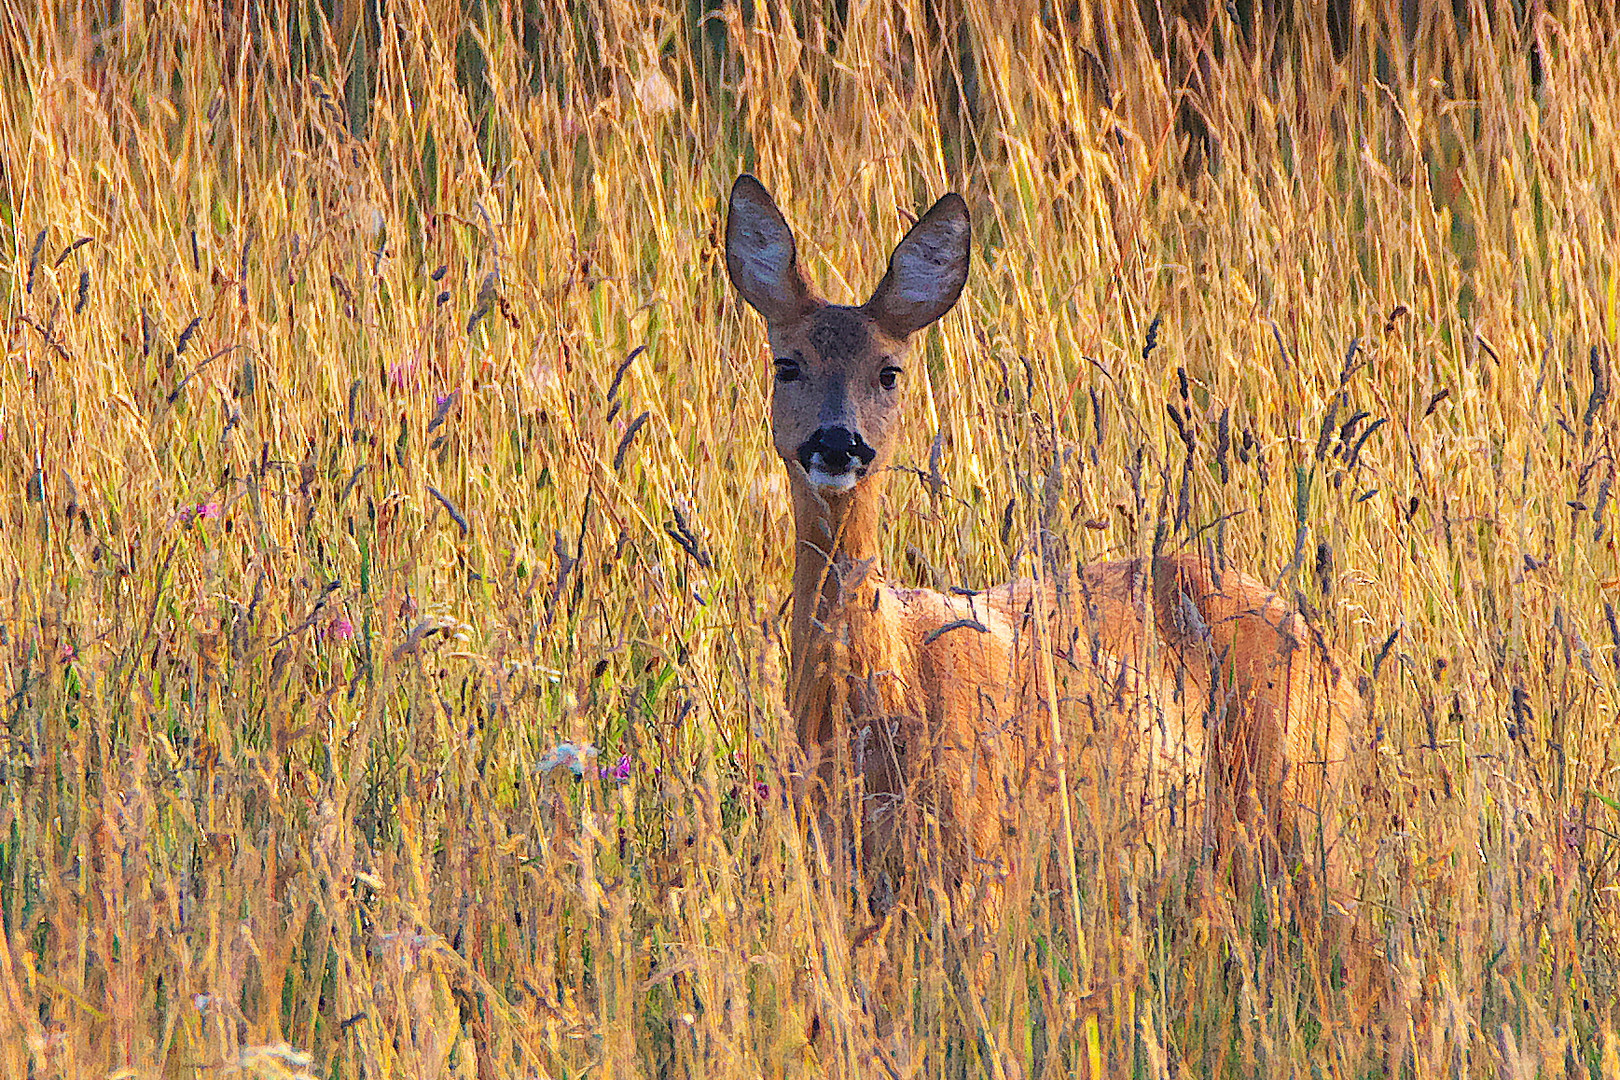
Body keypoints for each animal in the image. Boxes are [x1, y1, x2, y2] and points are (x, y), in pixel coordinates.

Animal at [729, 173, 1360, 919]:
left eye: (889, 371)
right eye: (786, 364)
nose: (837, 442)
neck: (874, 699)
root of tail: (1325, 653)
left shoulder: (988, 860)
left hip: (1295, 796)